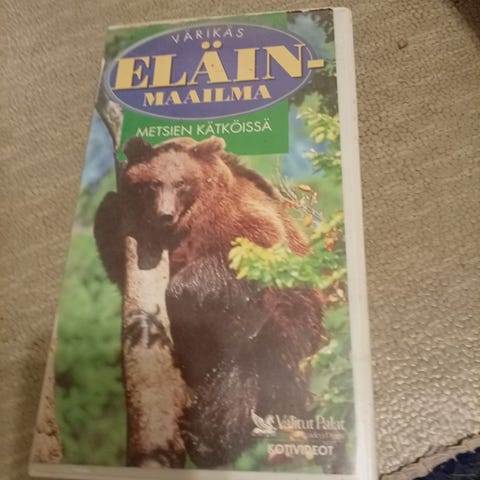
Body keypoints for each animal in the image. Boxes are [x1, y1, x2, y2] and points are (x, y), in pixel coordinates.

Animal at [94, 135, 327, 468]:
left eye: (181, 183)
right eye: (152, 184)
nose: (165, 214)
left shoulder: (238, 223)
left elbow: (243, 257)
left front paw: (183, 296)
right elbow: (112, 232)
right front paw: (112, 209)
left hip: (288, 326)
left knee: (250, 376)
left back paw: (210, 440)